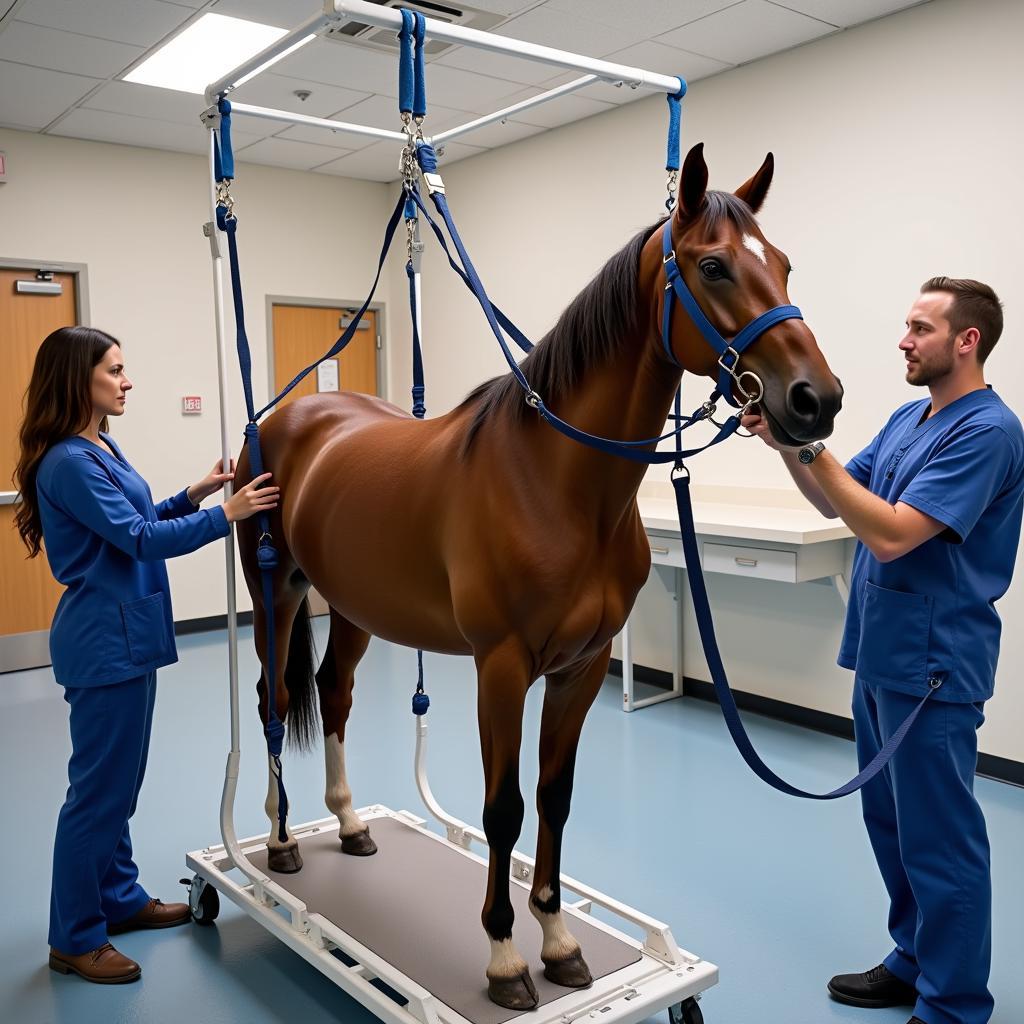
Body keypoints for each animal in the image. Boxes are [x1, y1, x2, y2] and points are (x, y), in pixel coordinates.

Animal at [235, 142, 843, 1007]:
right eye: (714, 266)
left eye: (784, 263)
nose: (817, 399)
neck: (557, 483)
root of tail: (288, 416)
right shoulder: (501, 667)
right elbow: (504, 809)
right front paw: (505, 958)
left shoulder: (581, 666)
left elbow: (555, 796)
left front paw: (558, 941)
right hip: (278, 593)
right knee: (274, 699)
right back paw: (283, 841)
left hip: (354, 606)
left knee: (337, 693)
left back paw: (349, 824)